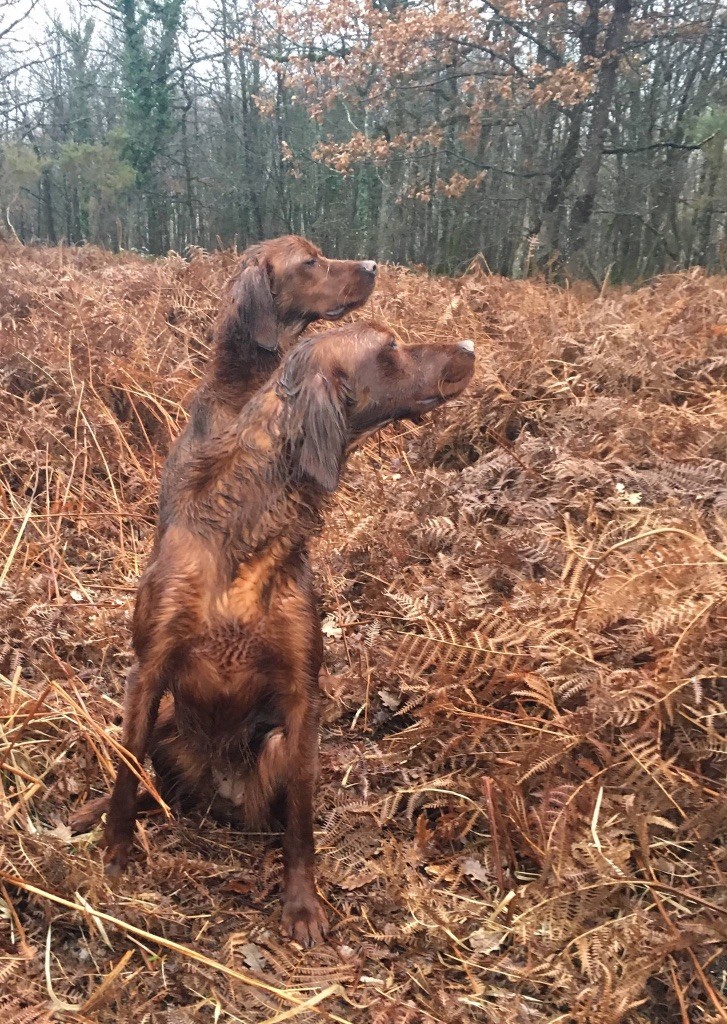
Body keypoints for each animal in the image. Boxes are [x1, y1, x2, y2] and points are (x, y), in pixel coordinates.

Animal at [71, 323, 475, 946]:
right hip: (169, 727)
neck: (250, 531)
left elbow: (301, 824)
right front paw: (114, 856)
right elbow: (125, 773)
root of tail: (217, 796)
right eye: (389, 350)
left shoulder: (302, 696)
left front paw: (302, 905)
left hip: (274, 747)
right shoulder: (148, 668)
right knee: (150, 785)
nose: (471, 349)